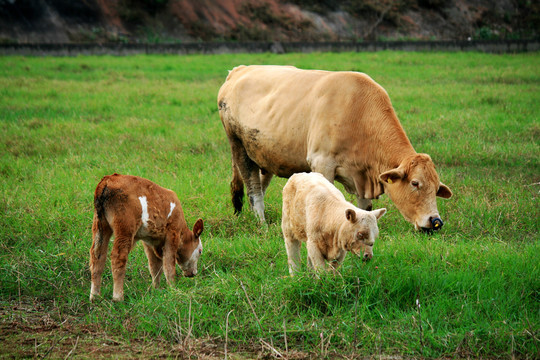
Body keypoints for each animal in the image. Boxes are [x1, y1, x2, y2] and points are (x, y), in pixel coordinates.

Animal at [217, 65, 454, 232]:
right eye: (415, 183)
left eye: (436, 187)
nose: (436, 221)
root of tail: (239, 70)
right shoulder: (322, 163)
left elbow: (365, 207)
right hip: (238, 146)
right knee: (253, 189)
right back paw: (261, 222)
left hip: (264, 154)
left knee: (258, 184)